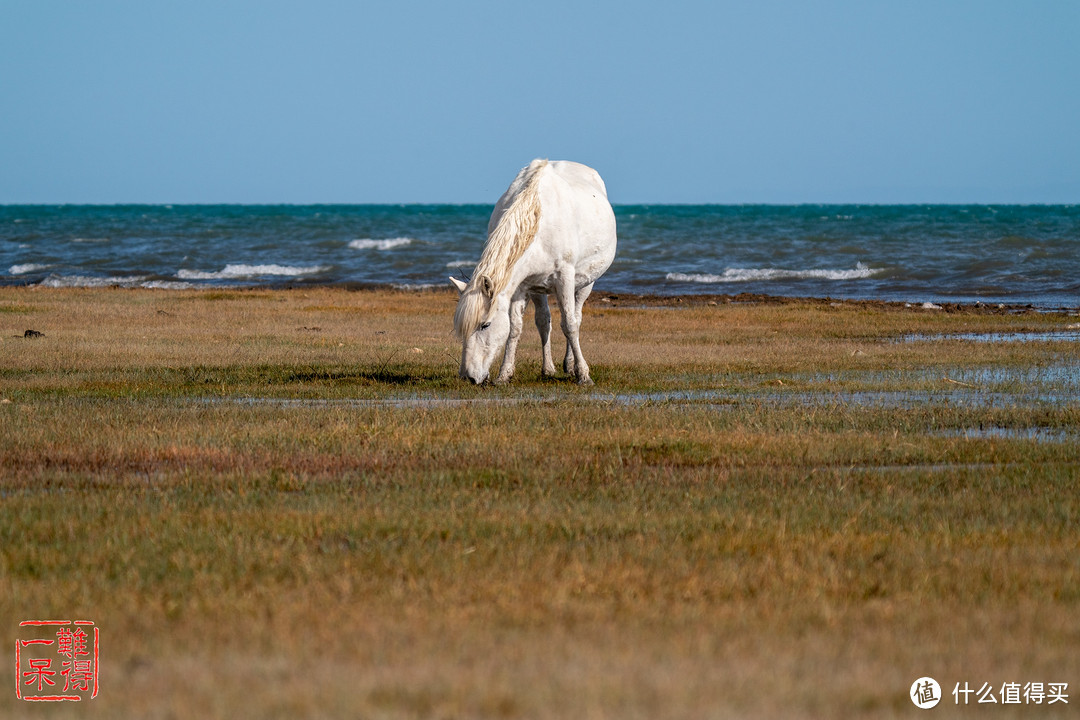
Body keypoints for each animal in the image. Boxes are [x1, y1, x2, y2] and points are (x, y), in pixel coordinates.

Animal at [449, 159, 617, 386]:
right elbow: (515, 328)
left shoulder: (565, 277)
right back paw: (548, 369)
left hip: (585, 283)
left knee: (576, 317)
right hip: (538, 289)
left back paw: (570, 365)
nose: (468, 377)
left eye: (485, 325)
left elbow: (570, 325)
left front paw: (583, 375)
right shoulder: (520, 286)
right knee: (544, 322)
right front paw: (504, 374)